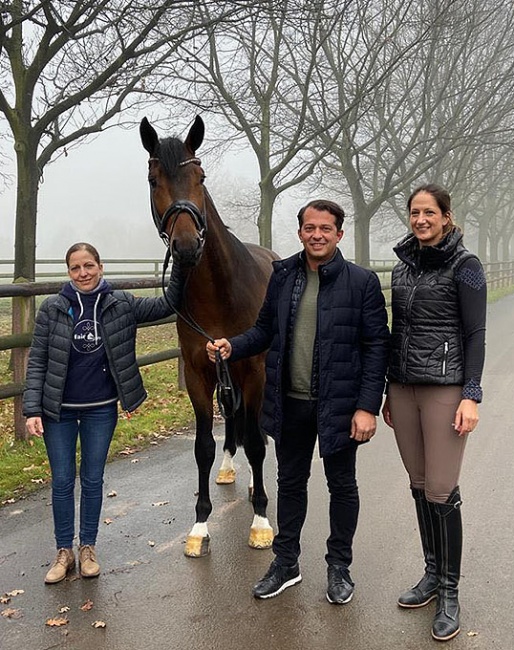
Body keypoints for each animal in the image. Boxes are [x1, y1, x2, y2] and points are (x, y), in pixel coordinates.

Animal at [139, 116, 276, 556]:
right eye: (154, 180)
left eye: (200, 177)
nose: (185, 245)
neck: (220, 292)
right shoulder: (201, 374)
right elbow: (202, 447)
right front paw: (200, 526)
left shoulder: (254, 370)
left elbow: (257, 442)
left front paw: (261, 521)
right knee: (233, 422)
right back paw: (230, 469)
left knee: (255, 429)